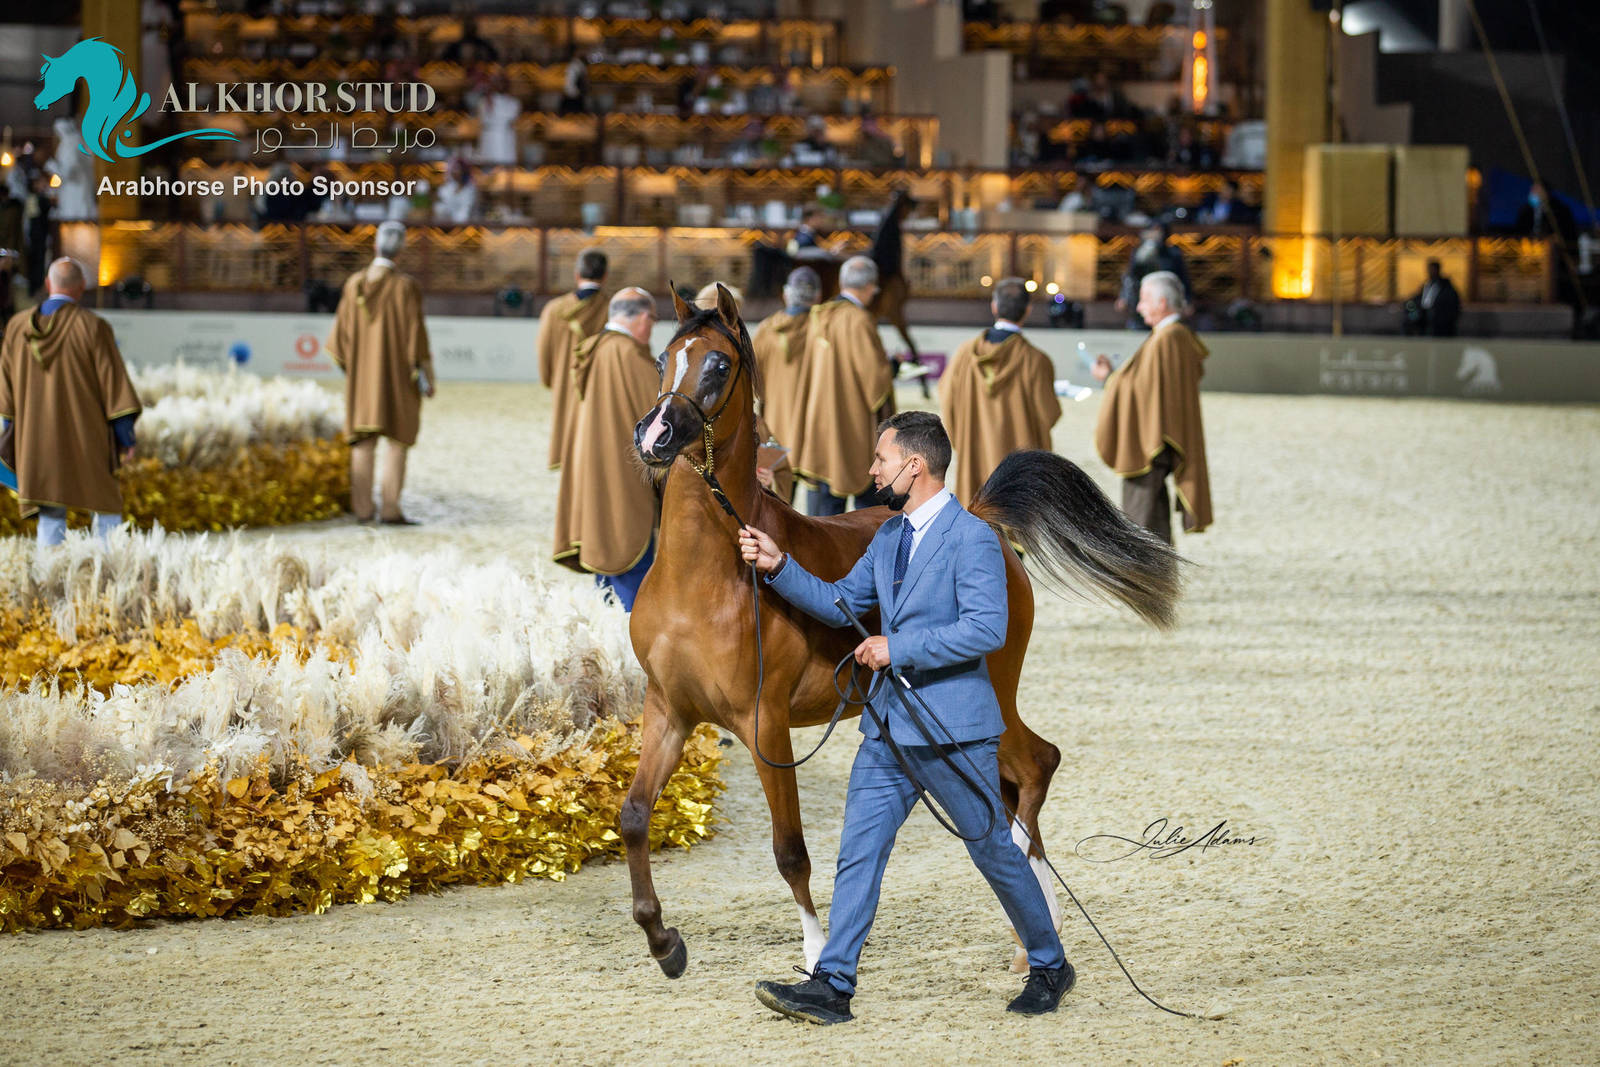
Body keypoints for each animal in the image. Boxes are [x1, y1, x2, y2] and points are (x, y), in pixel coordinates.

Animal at [622, 283, 1181, 978]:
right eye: (662, 358)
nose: (655, 435)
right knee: (1015, 781)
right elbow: (634, 817)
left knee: (1035, 767)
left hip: (985, 700)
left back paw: (1038, 929)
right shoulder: (669, 710)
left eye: (718, 366)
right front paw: (663, 943)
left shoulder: (764, 725)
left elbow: (790, 850)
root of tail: (981, 520)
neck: (705, 577)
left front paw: (815, 952)